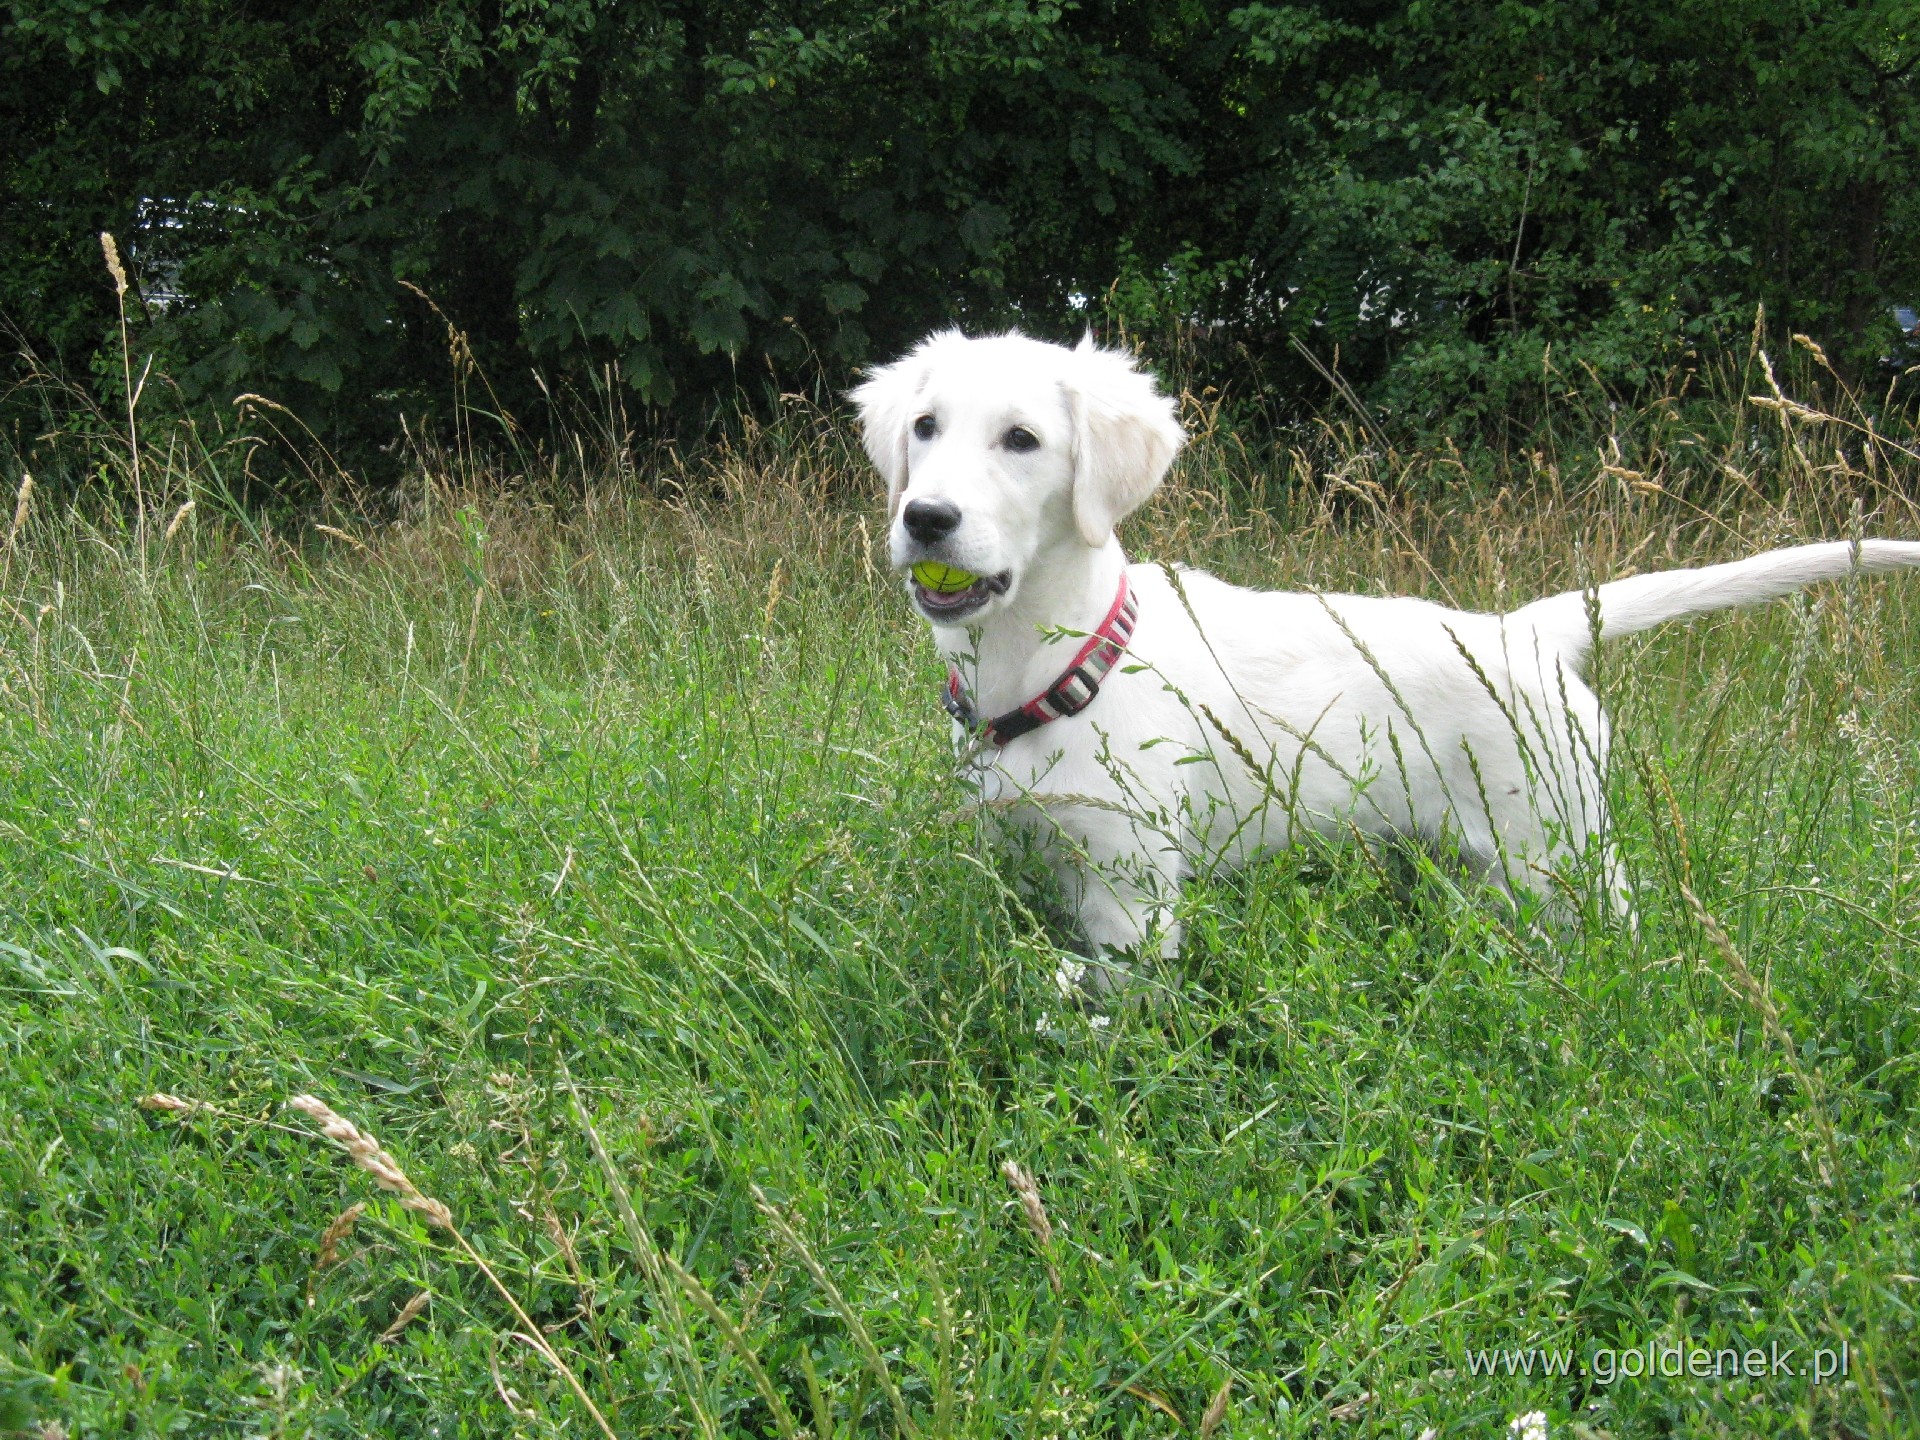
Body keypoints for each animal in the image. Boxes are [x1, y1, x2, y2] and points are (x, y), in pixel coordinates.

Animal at [853, 329, 1920, 992]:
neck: (1057, 666)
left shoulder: (1134, 895)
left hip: (1566, 848)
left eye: (1022, 440)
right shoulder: (1019, 858)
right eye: (925, 428)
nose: (926, 518)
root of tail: (1527, 630)